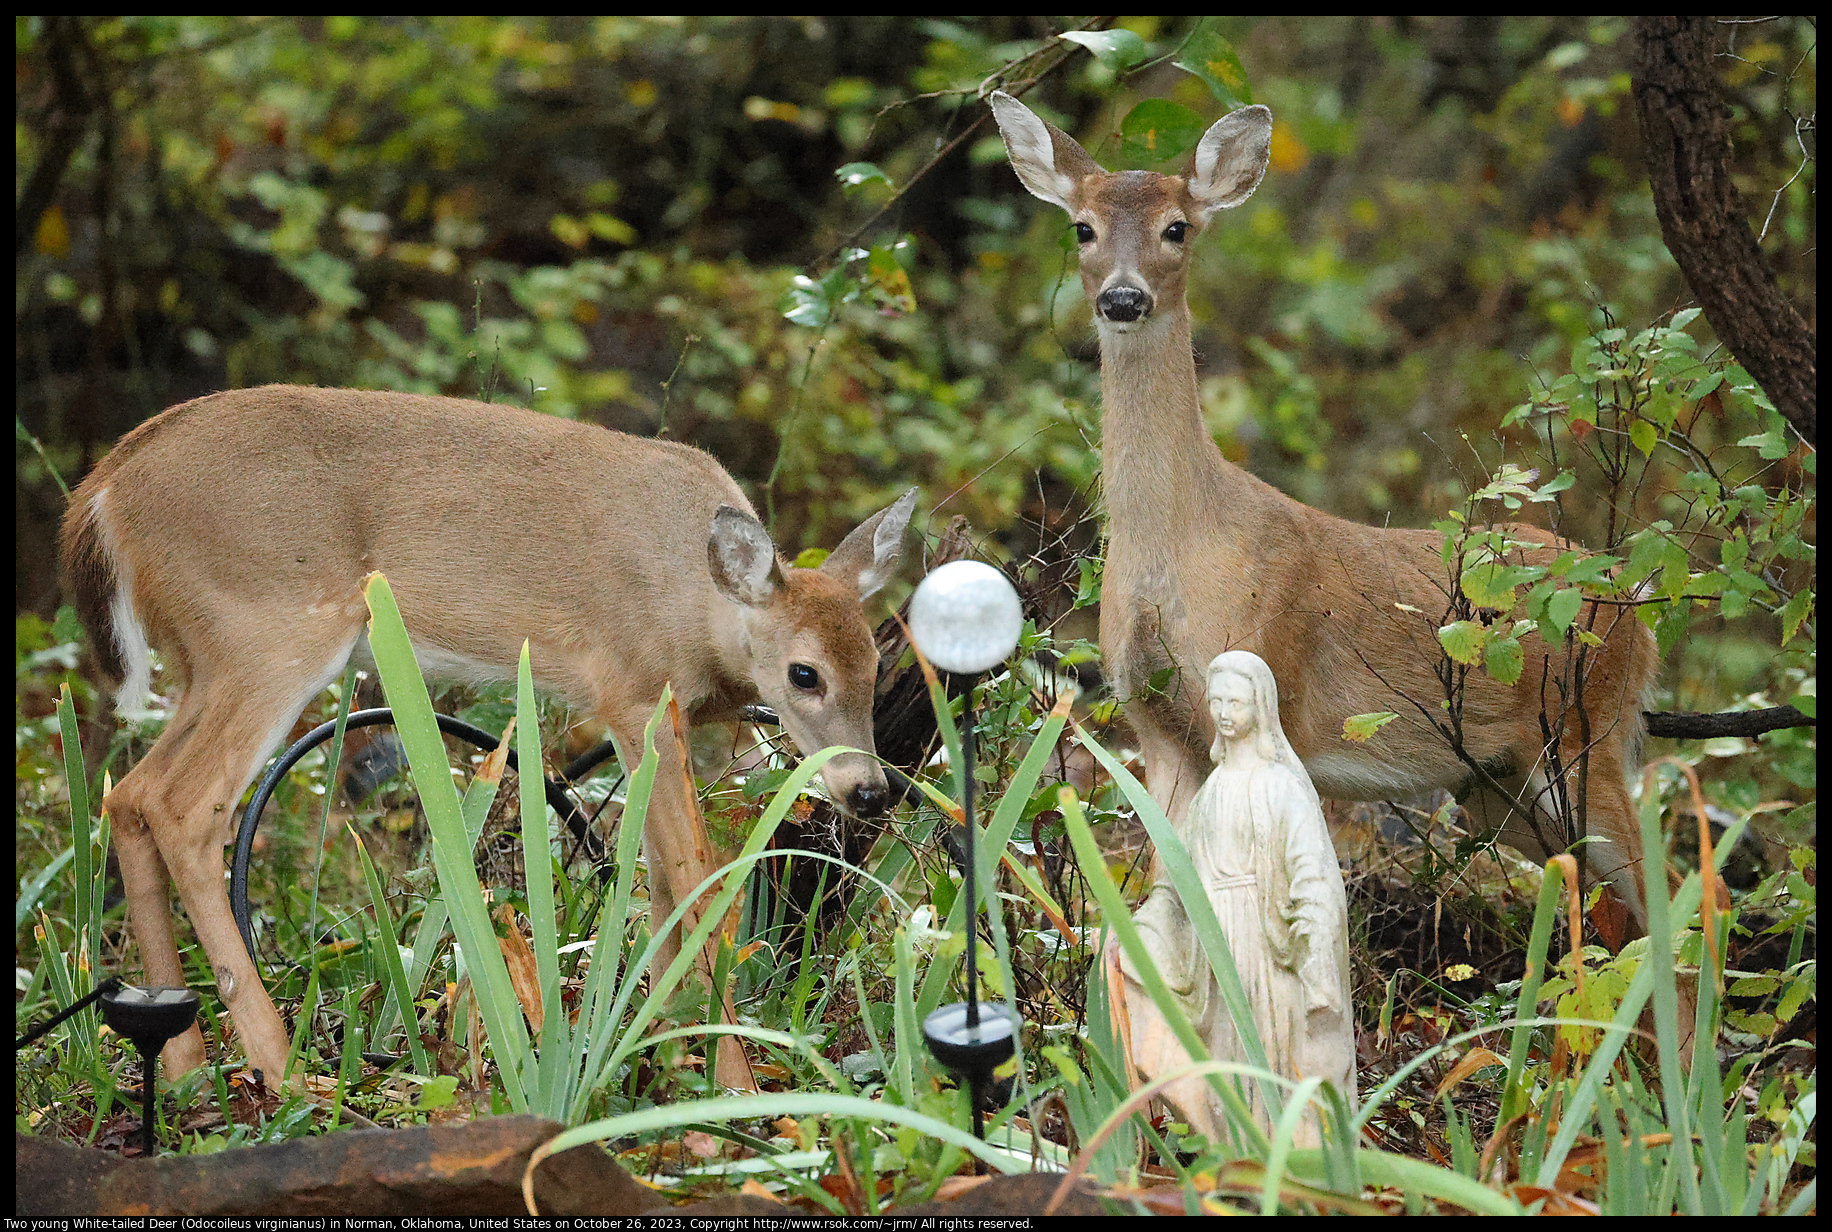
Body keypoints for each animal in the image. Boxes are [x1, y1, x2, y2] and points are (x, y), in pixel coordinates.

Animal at [60, 385, 916, 1085]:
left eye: (878, 661)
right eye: (804, 674)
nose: (869, 788)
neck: (693, 604)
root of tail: (101, 491)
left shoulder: (650, 717)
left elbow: (660, 881)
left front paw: (666, 1057)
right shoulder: (634, 692)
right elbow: (693, 872)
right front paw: (730, 1085)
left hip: (204, 662)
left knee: (129, 795)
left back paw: (182, 1062)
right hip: (268, 634)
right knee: (182, 805)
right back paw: (282, 1069)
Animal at [996, 88, 1670, 935]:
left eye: (1177, 227)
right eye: (1082, 227)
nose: (1124, 297)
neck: (1178, 549)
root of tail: (1640, 611)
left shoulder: (1263, 680)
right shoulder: (1155, 725)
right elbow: (1166, 904)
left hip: (1587, 729)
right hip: (1500, 783)